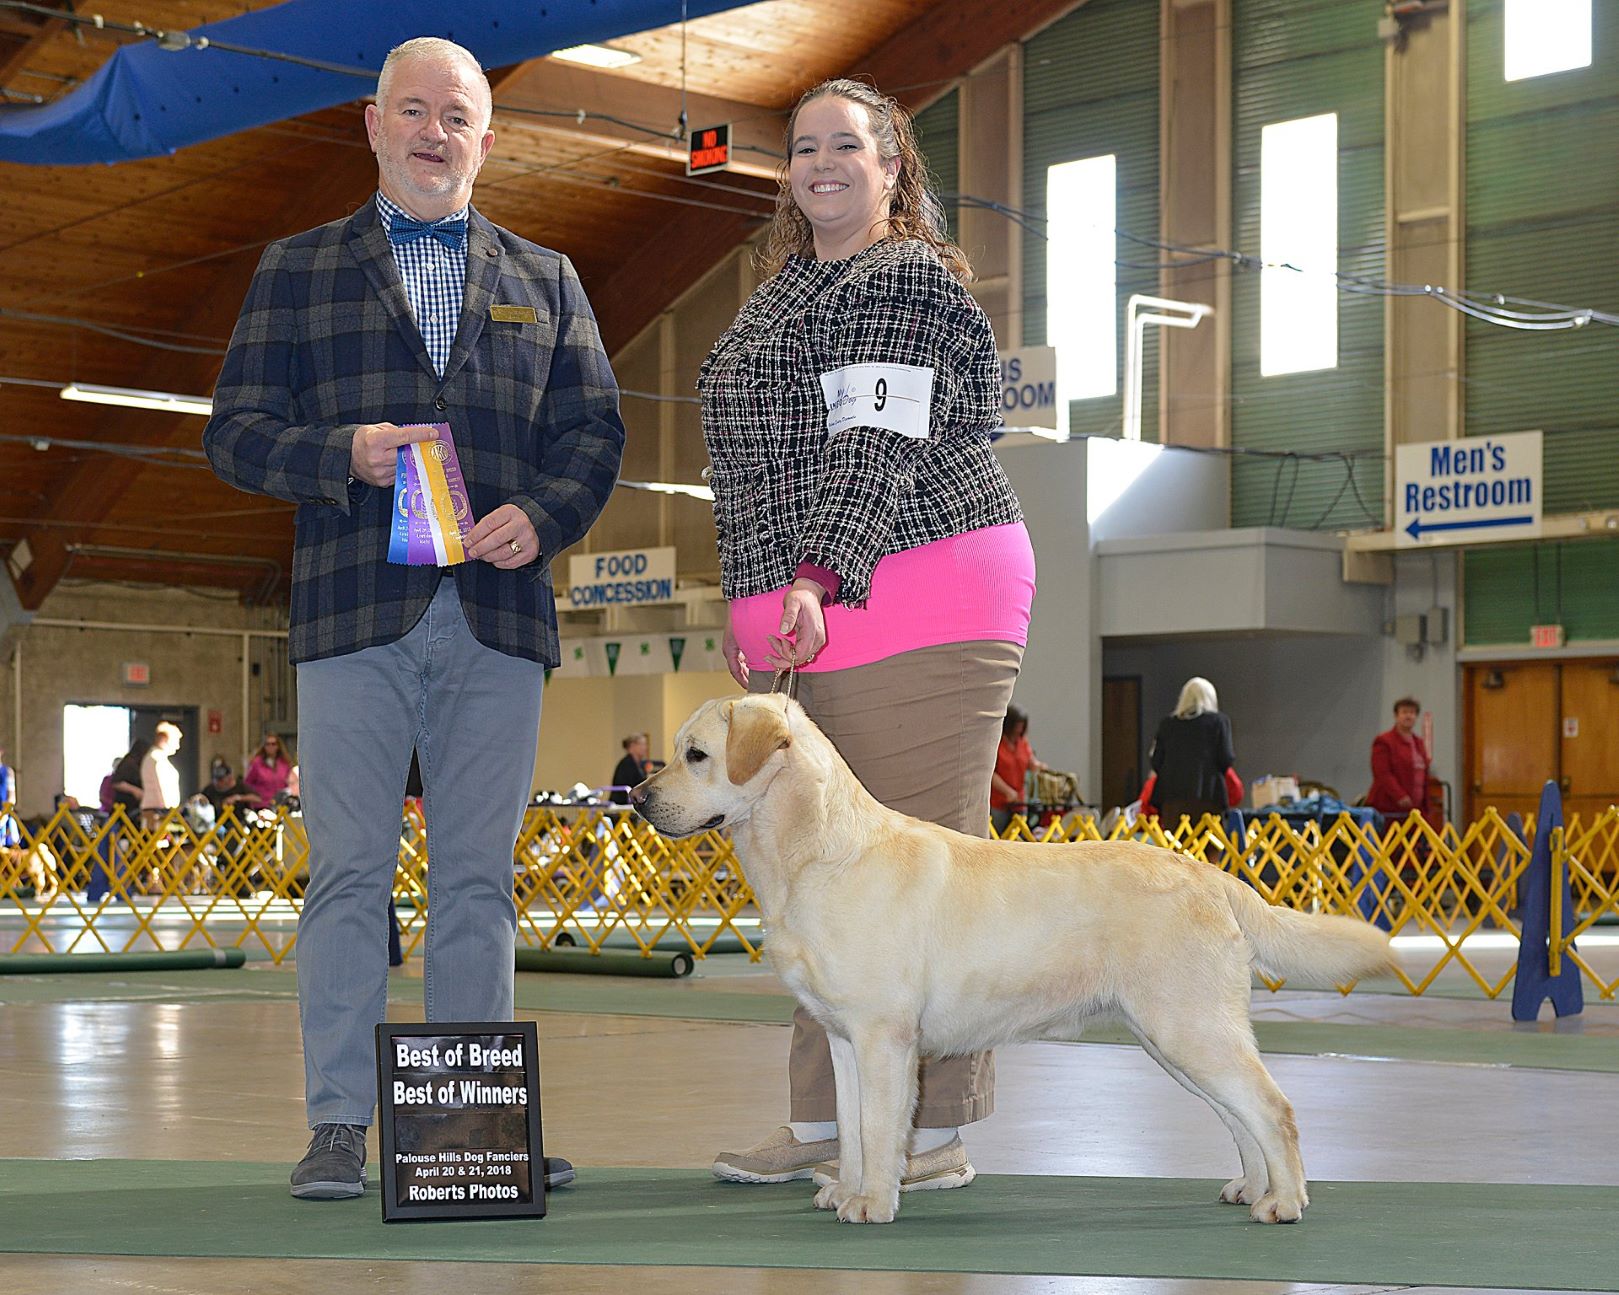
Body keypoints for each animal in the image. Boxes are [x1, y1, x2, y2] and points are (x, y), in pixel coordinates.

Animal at [631, 692, 1392, 1230]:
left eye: (695, 754)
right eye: (672, 753)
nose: (637, 797)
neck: (817, 852)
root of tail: (1208, 873)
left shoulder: (884, 1037)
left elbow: (879, 1128)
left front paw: (872, 1203)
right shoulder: (845, 1040)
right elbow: (848, 1129)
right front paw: (844, 1189)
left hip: (1188, 1027)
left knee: (1273, 1107)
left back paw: (1284, 1203)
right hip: (1175, 1036)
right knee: (1241, 1115)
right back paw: (1251, 1188)